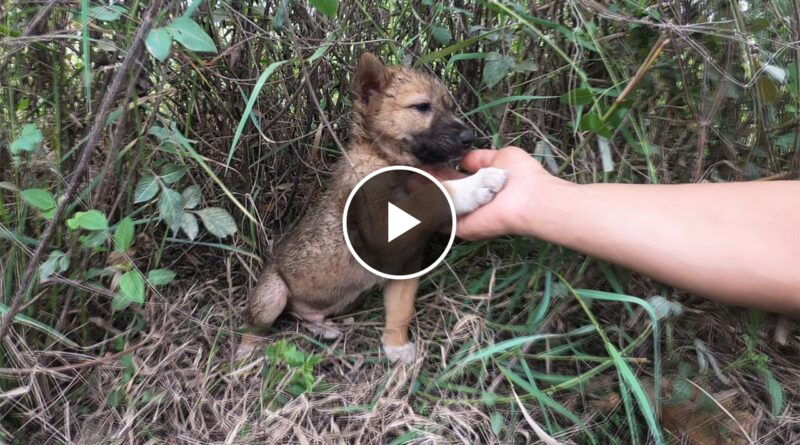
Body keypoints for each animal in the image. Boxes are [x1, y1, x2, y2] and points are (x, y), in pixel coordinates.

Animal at [238, 53, 506, 362]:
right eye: (422, 107)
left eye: (450, 107)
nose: (469, 138)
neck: (383, 157)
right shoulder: (380, 227)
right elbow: (429, 195)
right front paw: (475, 185)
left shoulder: (405, 266)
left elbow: (401, 308)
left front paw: (396, 346)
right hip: (273, 293)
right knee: (256, 323)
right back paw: (248, 350)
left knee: (300, 315)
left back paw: (320, 327)